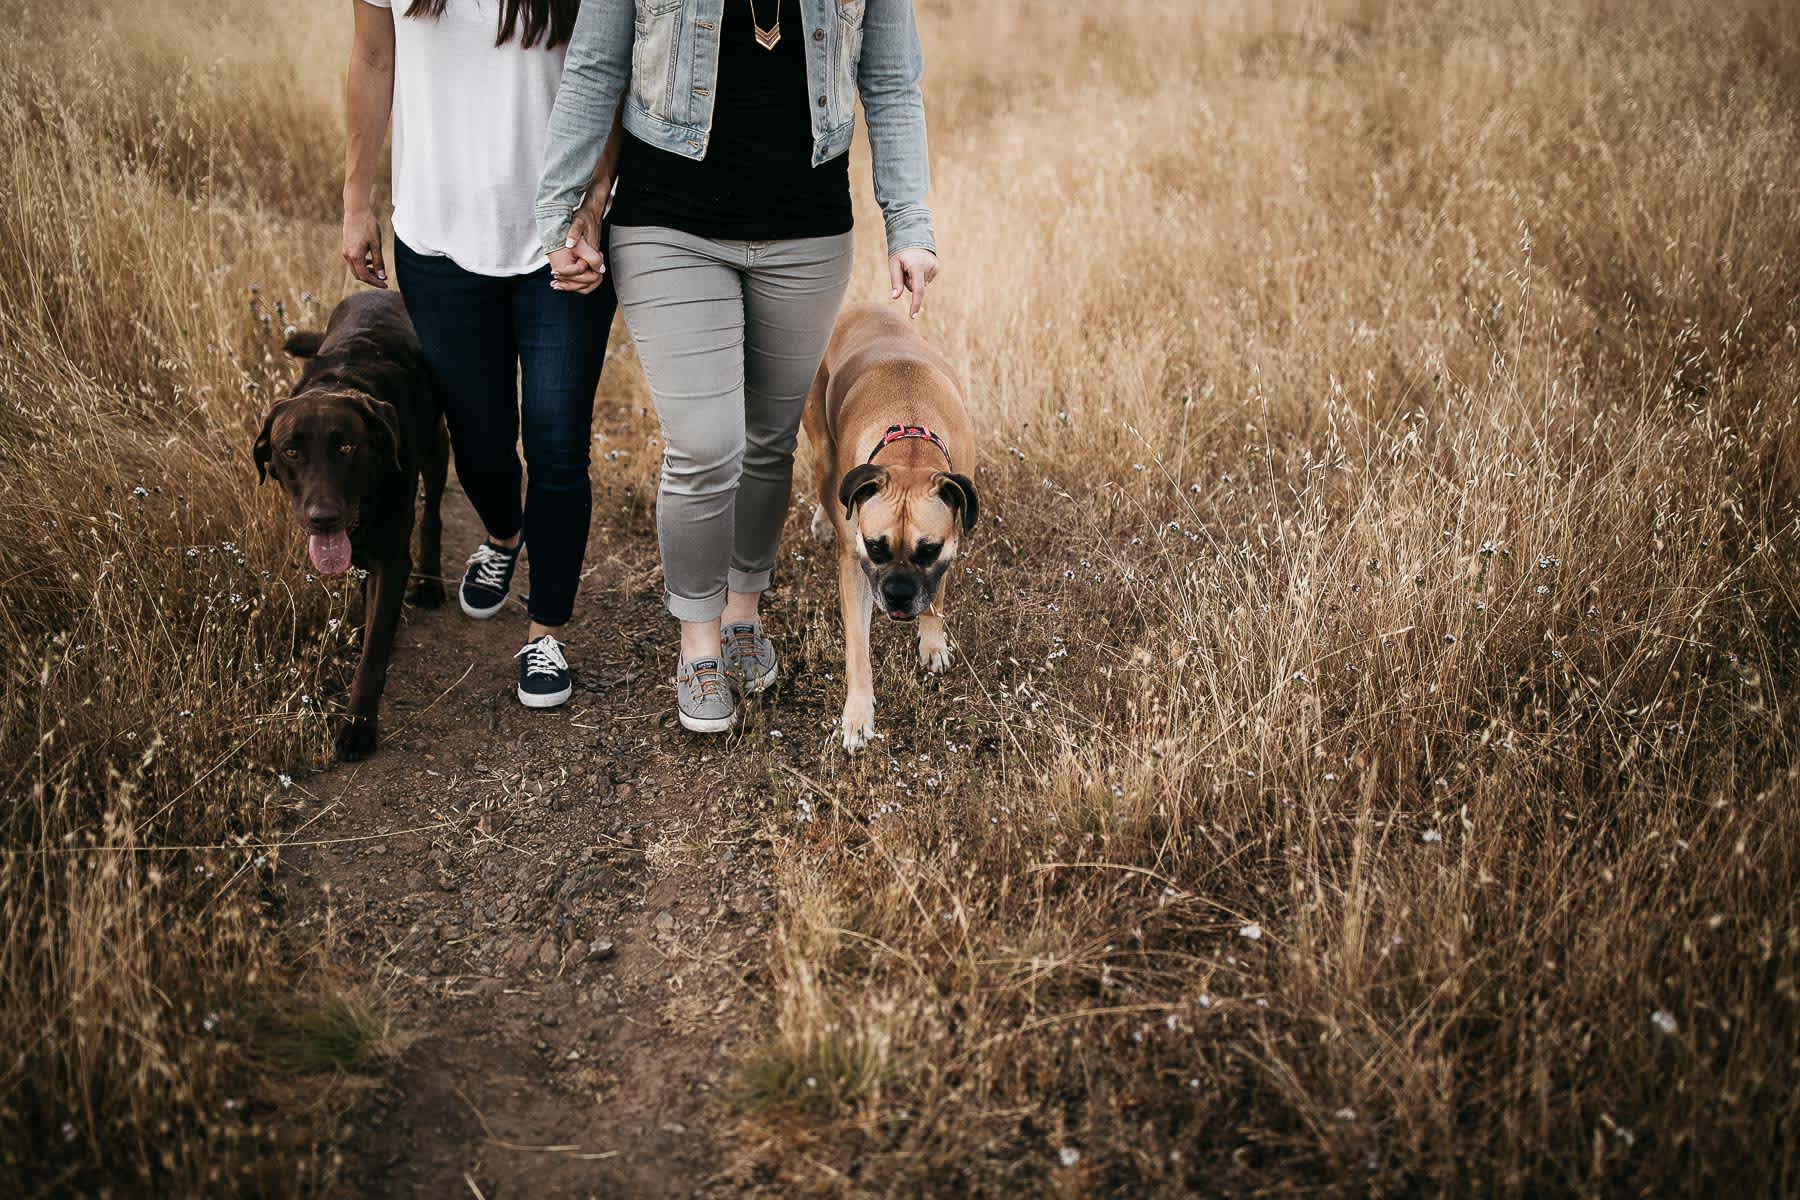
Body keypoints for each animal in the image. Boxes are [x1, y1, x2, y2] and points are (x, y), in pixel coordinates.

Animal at [802, 302, 979, 752]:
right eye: (875, 547)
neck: (910, 447)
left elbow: (935, 597)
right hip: (823, 451)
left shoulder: (949, 547)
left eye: (928, 550)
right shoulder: (854, 567)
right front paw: (857, 713)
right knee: (825, 485)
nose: (898, 595)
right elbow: (857, 650)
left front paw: (932, 641)